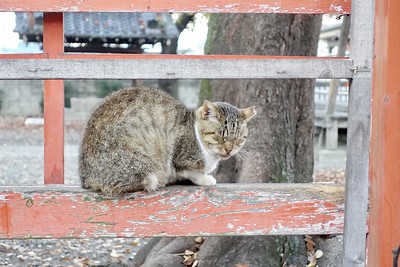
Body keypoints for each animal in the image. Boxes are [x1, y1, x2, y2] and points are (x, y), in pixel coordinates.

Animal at [79, 86, 256, 197]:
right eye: (220, 136)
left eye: (238, 139)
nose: (228, 150)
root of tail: (86, 177)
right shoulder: (182, 158)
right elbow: (192, 172)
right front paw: (205, 179)